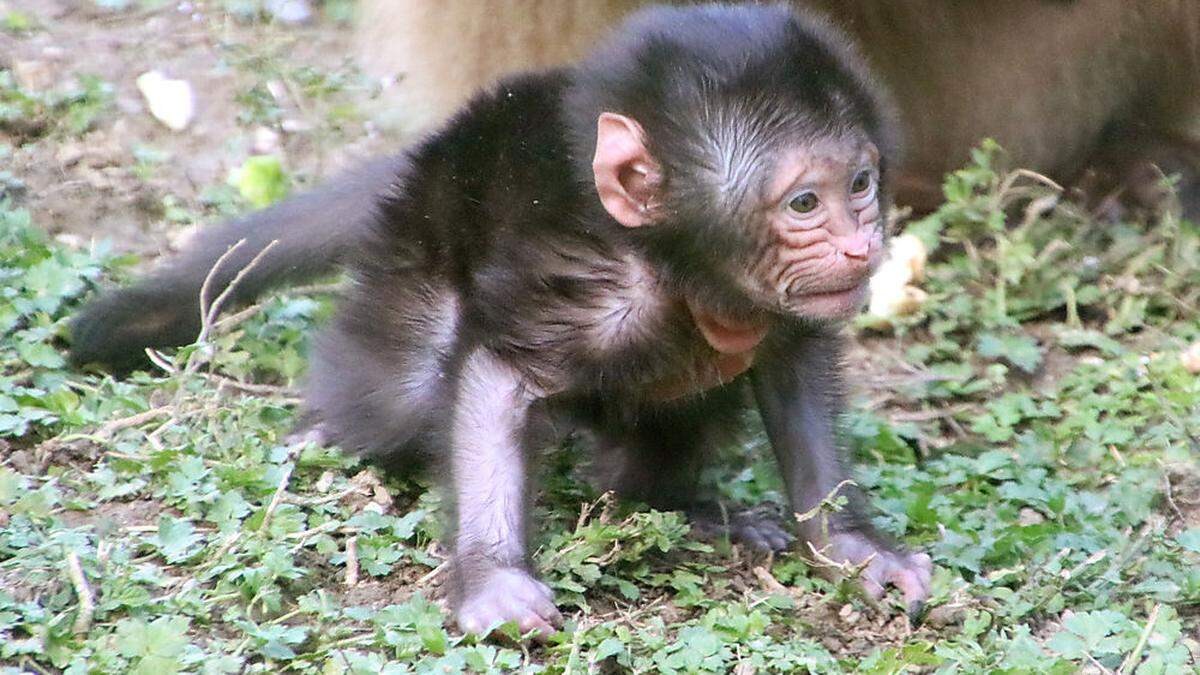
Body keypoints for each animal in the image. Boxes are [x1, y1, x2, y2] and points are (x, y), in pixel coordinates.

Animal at [70, 5, 936, 634]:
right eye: (804, 203)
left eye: (860, 184)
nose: (863, 245)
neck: (674, 271)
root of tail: (427, 155)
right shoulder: (587, 288)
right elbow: (496, 379)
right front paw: (492, 579)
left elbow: (792, 371)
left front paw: (850, 545)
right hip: (413, 247)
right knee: (410, 383)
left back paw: (677, 508)